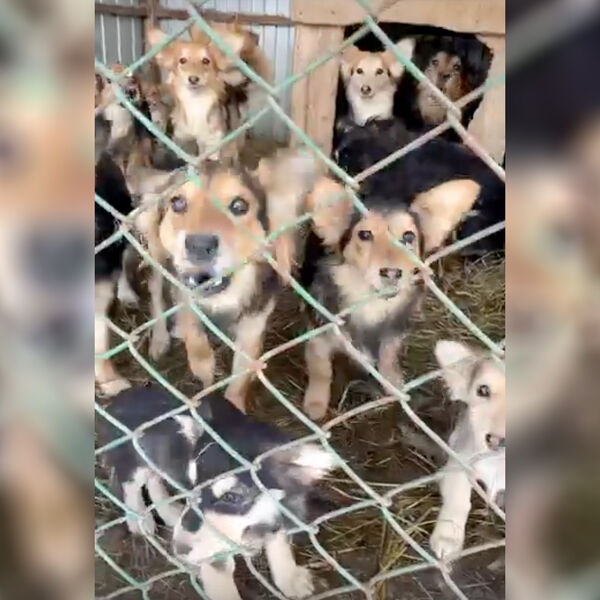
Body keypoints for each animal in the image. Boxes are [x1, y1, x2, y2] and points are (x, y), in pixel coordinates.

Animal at [97, 384, 337, 600]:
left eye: (232, 497)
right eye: (192, 486)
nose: (179, 549)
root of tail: (121, 397)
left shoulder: (283, 511)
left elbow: (279, 543)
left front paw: (290, 579)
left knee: (155, 479)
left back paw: (171, 512)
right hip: (134, 459)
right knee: (130, 483)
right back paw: (139, 520)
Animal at [140, 150, 320, 411]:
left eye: (239, 206)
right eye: (177, 203)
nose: (199, 245)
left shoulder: (253, 326)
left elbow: (239, 380)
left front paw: (233, 406)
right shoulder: (184, 293)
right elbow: (195, 340)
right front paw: (203, 371)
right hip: (155, 252)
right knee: (155, 293)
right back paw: (160, 339)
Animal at [300, 175, 481, 420]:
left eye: (408, 236)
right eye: (364, 235)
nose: (393, 273)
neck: (370, 304)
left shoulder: (395, 330)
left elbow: (388, 354)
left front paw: (392, 381)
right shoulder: (320, 333)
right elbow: (320, 369)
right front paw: (316, 403)